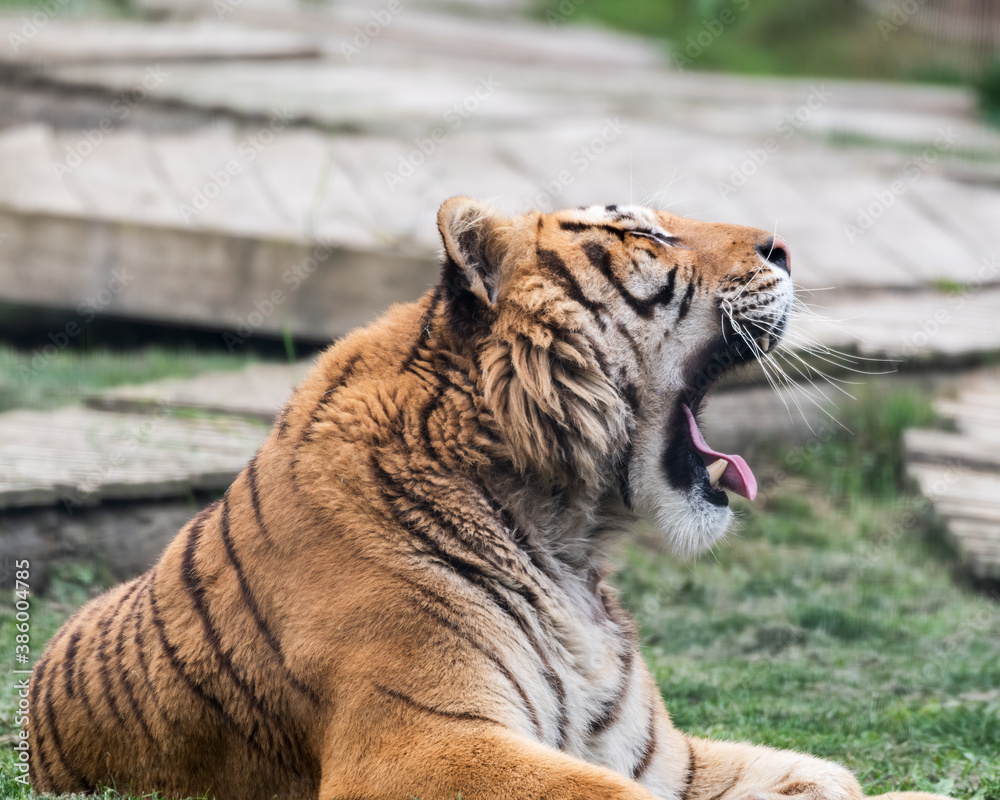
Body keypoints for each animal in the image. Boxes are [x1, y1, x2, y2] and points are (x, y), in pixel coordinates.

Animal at [27, 197, 956, 800]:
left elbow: (829, 775)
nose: (785, 247)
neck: (569, 540)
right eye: (644, 233)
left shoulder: (654, 755)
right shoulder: (418, 743)